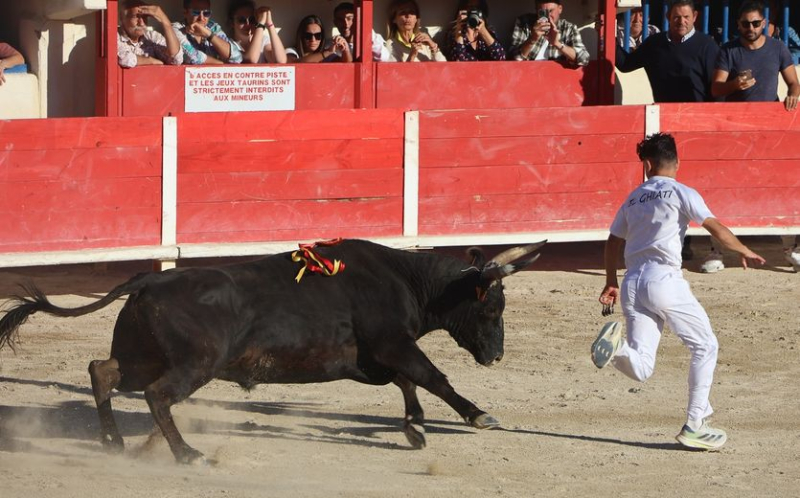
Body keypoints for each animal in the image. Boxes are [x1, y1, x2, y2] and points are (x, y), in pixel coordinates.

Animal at [0, 238, 544, 462]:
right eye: (492, 307)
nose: (495, 356)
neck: (405, 279)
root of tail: (149, 279)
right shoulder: (393, 343)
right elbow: (433, 377)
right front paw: (479, 416)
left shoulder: (372, 357)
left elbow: (408, 382)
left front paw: (414, 429)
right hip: (196, 363)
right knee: (156, 395)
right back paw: (186, 453)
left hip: (142, 355)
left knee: (103, 371)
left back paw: (114, 442)